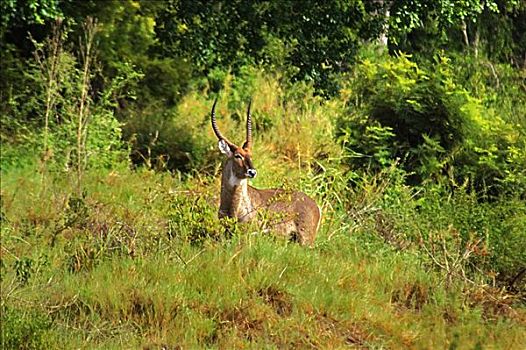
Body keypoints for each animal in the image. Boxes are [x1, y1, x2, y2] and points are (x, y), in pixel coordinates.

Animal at [210, 98, 322, 246]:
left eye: (250, 155)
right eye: (237, 156)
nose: (252, 172)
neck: (233, 207)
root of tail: (315, 205)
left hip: (305, 240)